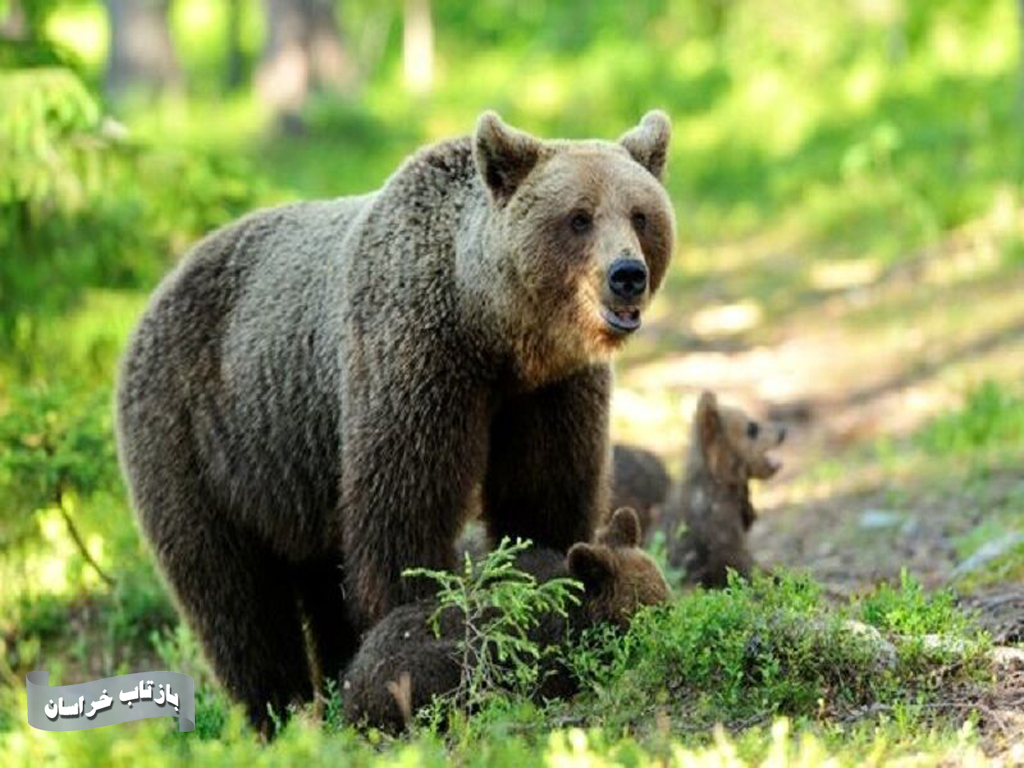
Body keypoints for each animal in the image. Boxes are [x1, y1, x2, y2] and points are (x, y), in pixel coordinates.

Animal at [116, 109, 675, 733]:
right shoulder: (412, 362)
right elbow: (403, 515)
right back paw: (276, 713)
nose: (626, 274)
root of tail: (158, 290)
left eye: (641, 214)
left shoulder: (550, 393)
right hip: (198, 435)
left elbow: (543, 495)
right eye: (578, 217)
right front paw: (411, 624)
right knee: (234, 598)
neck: (493, 333)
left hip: (297, 478)